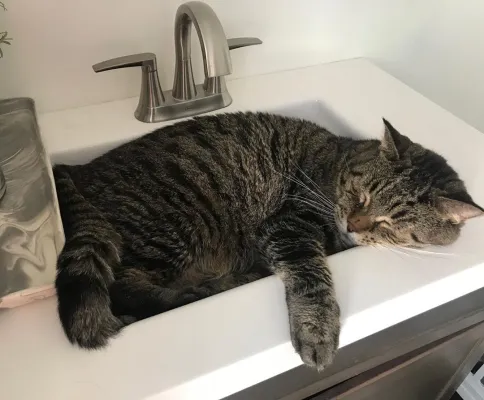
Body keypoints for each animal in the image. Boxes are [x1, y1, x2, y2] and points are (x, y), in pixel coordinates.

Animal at [53, 112, 483, 370]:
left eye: (391, 222)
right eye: (362, 194)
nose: (354, 224)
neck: (337, 164)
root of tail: (80, 170)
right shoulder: (289, 225)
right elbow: (311, 278)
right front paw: (317, 329)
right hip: (174, 223)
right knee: (125, 288)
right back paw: (214, 287)